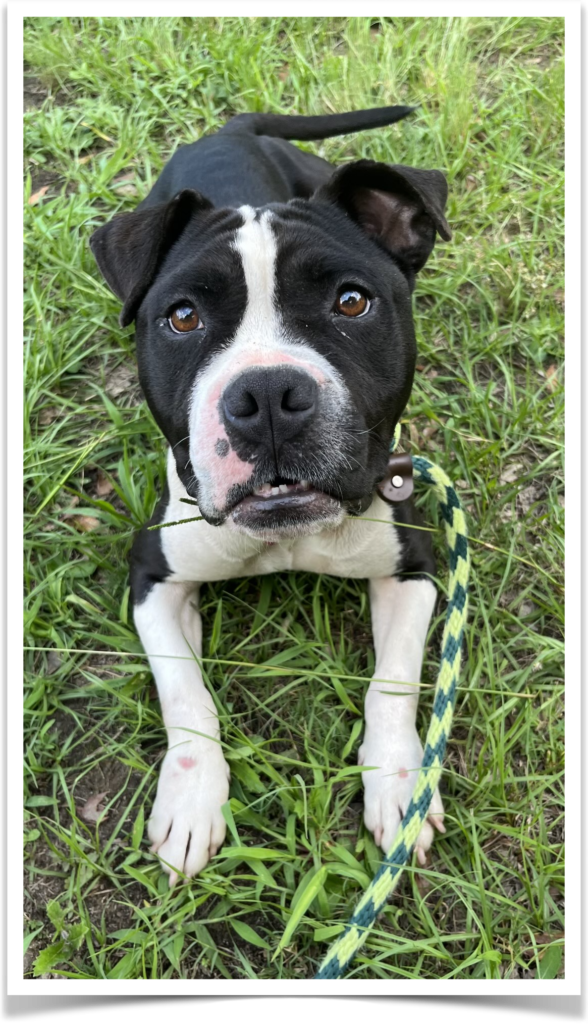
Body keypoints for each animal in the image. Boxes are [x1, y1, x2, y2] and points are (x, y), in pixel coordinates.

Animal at [90, 105, 454, 888]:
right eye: (183, 317)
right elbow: (185, 694)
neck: (287, 533)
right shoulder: (153, 576)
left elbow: (393, 683)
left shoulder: (412, 567)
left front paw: (399, 783)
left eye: (352, 301)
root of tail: (233, 127)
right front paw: (192, 799)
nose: (266, 396)